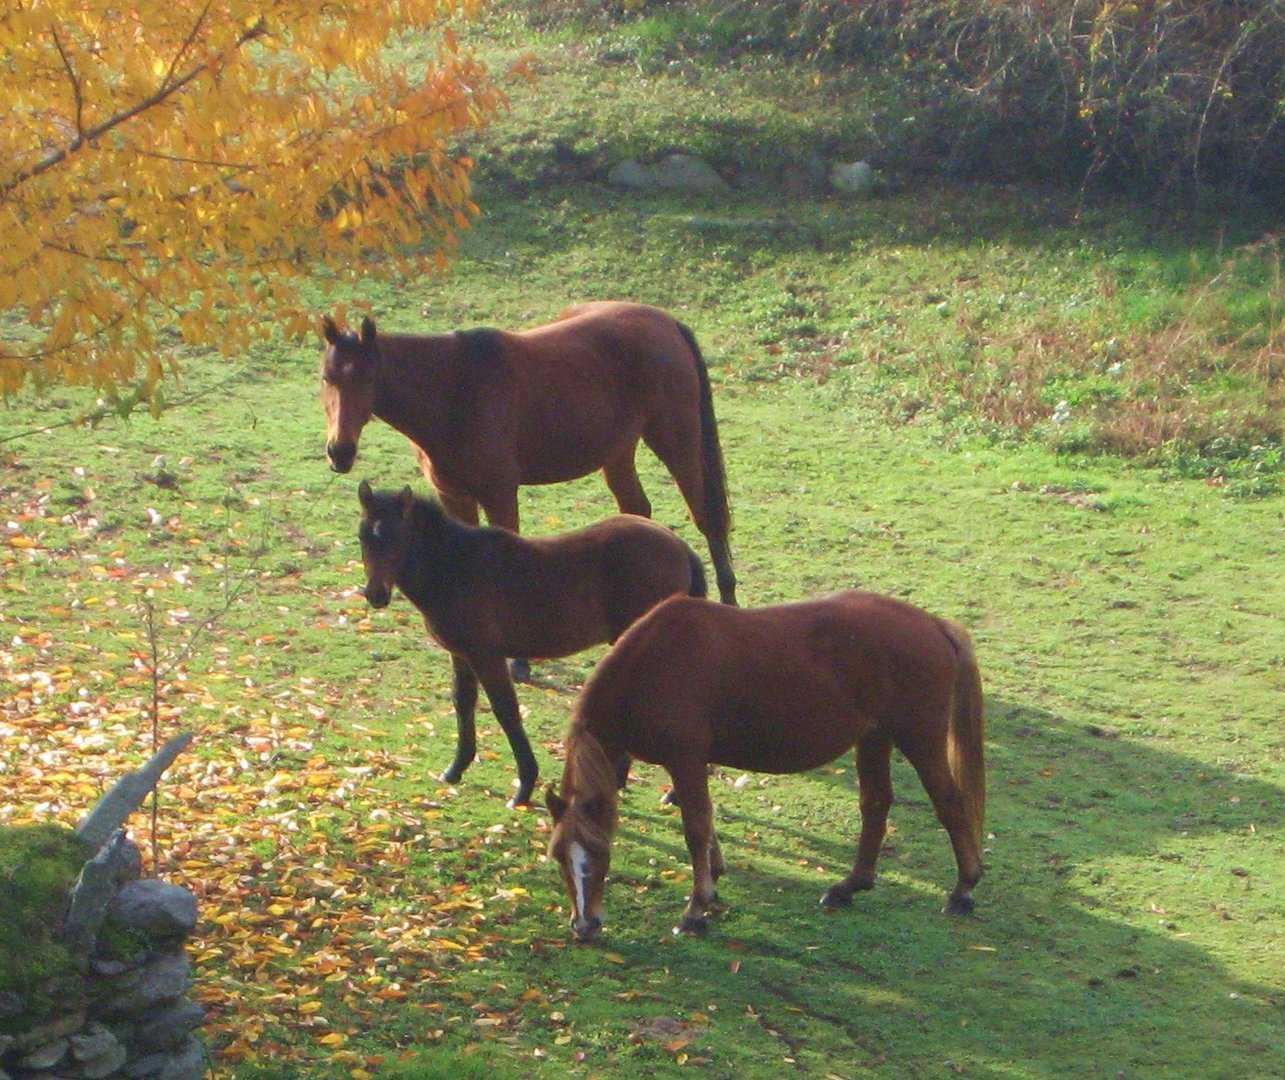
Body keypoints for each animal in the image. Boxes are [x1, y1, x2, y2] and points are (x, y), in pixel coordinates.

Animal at [321, 303, 740, 604]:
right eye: (327, 377)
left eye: (368, 377)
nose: (340, 451)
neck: (454, 388)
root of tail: (667, 322)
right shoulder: (454, 495)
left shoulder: (500, 493)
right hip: (619, 453)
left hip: (678, 443)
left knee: (707, 516)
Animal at [357, 478, 709, 802]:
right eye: (363, 536)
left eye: (397, 537)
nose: (376, 595)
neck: (456, 566)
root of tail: (680, 546)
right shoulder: (461, 653)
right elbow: (463, 701)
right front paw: (455, 769)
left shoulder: (486, 654)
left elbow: (506, 710)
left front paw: (525, 785)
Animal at [547, 591, 986, 936]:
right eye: (558, 856)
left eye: (599, 851)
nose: (584, 925)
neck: (655, 662)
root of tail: (933, 624)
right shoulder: (692, 764)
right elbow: (704, 820)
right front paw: (714, 878)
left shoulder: (686, 760)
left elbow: (695, 828)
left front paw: (696, 908)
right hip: (874, 738)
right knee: (876, 804)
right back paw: (849, 886)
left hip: (920, 742)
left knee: (950, 803)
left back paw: (964, 890)